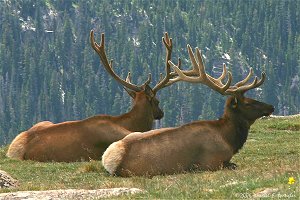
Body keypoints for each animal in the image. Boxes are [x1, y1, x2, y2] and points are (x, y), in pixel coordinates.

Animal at [102, 45, 274, 177]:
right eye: (248, 103)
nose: (271, 107)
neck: (228, 139)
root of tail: (108, 161)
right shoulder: (211, 162)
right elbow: (233, 165)